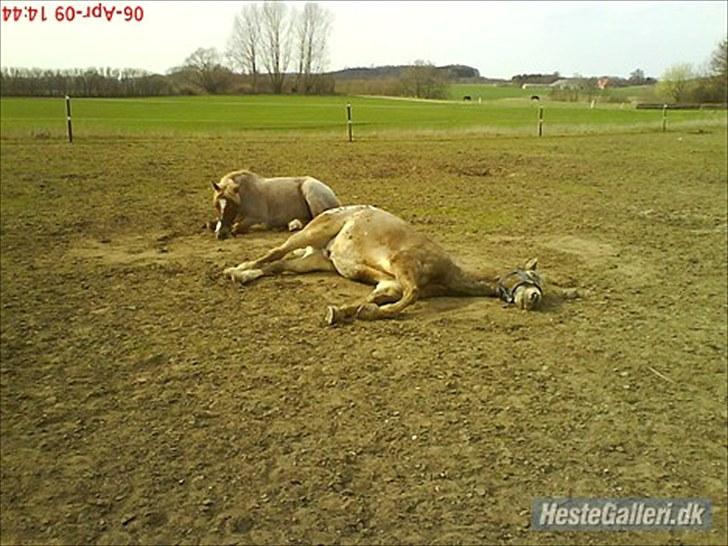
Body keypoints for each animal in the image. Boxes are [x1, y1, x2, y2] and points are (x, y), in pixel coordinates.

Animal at [206, 169, 340, 239]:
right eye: (217, 205)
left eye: (232, 205)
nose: (221, 234)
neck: (244, 194)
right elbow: (210, 224)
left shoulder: (257, 218)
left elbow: (237, 227)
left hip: (311, 191)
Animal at [222, 204, 544, 324]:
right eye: (529, 276)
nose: (535, 298)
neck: (446, 272)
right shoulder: (404, 266)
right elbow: (411, 295)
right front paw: (372, 312)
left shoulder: (389, 284)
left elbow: (372, 299)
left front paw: (343, 311)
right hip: (311, 233)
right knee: (275, 252)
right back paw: (236, 270)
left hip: (316, 261)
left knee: (278, 267)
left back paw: (245, 276)